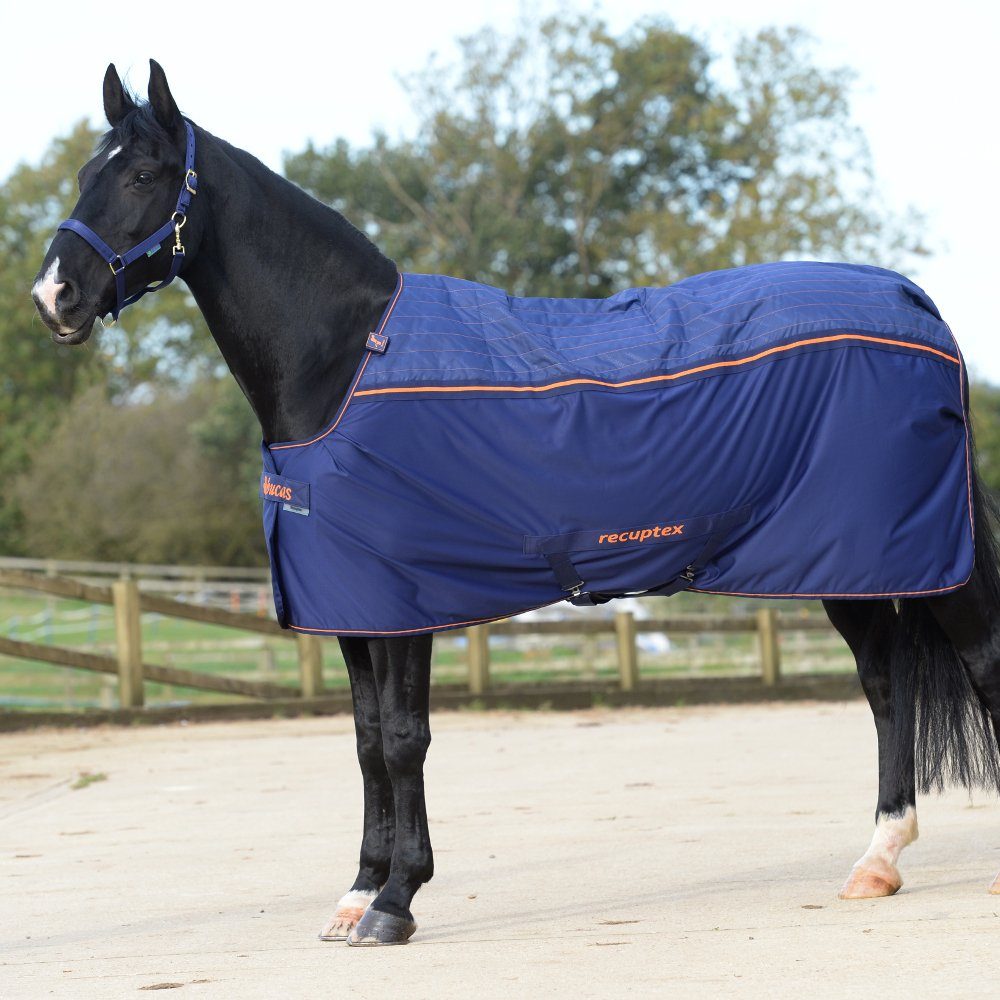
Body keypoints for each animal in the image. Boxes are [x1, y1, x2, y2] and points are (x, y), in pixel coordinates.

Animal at [31, 61, 1000, 947]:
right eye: (83, 173)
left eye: (143, 175)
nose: (53, 298)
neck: (347, 361)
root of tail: (918, 305)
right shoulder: (349, 606)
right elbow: (364, 739)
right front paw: (357, 893)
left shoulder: (403, 601)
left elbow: (403, 739)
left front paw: (394, 903)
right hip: (852, 566)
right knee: (886, 687)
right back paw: (876, 863)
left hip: (922, 565)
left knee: (980, 665)